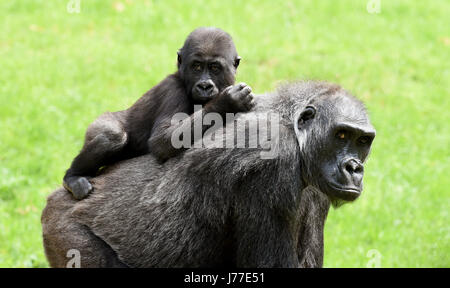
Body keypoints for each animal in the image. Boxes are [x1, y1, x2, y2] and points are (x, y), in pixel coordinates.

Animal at [42, 80, 376, 268]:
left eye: (362, 141)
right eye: (341, 135)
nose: (354, 168)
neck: (292, 126)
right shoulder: (272, 166)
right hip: (65, 232)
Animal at [63, 27, 255, 199]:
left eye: (215, 68)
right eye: (197, 67)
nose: (204, 86)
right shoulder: (173, 91)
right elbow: (163, 140)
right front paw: (226, 101)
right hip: (99, 122)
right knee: (112, 137)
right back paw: (72, 176)